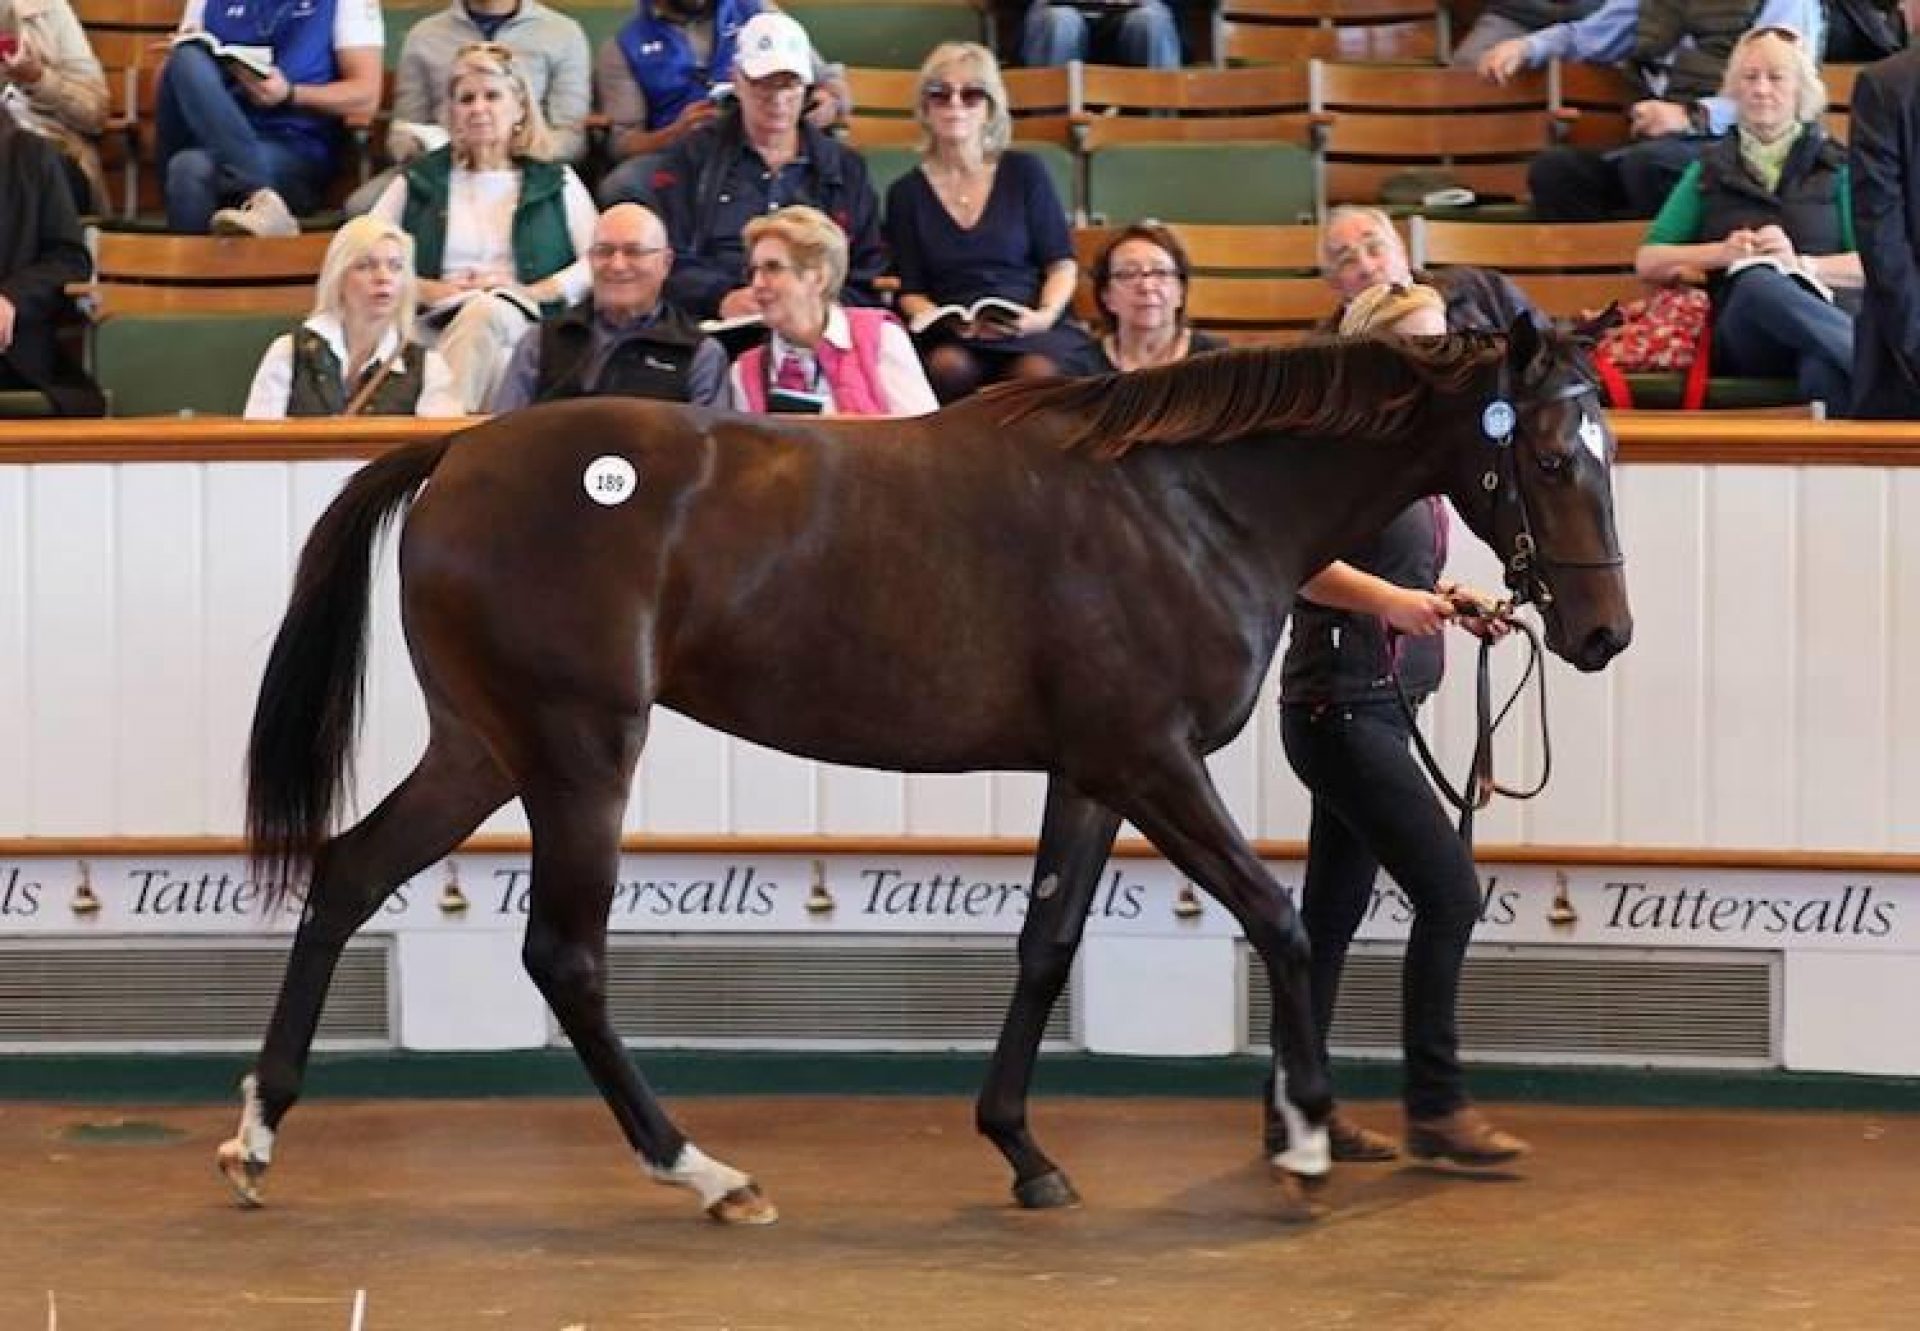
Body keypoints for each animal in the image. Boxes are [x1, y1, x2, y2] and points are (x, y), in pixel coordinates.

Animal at [228, 318, 1635, 1221]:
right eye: (1550, 457)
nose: (1601, 634)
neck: (1187, 503)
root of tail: (459, 453)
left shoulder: (1093, 770)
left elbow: (1047, 945)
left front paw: (1022, 1148)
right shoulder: (1153, 758)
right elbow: (1278, 918)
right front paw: (1299, 1143)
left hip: (483, 745)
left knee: (348, 874)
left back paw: (257, 1132)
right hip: (579, 749)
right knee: (562, 954)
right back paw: (705, 1171)